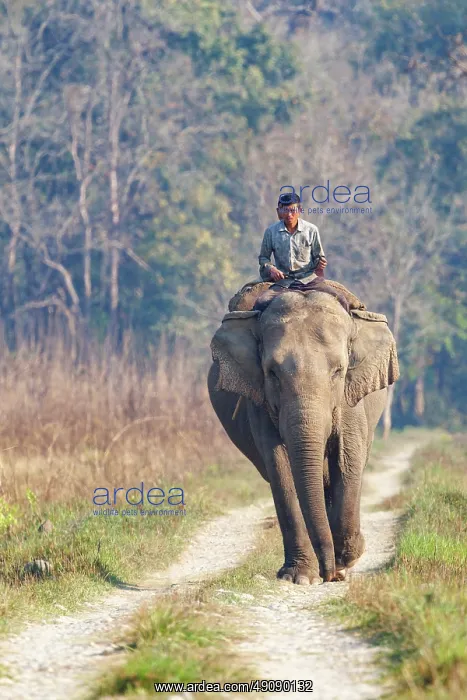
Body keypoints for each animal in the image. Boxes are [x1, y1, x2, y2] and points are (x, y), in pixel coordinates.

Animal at [208, 285, 399, 583]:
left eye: (339, 371)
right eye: (272, 373)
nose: (328, 573)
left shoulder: (350, 400)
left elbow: (347, 460)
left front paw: (346, 559)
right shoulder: (260, 403)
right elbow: (280, 469)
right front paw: (299, 577)